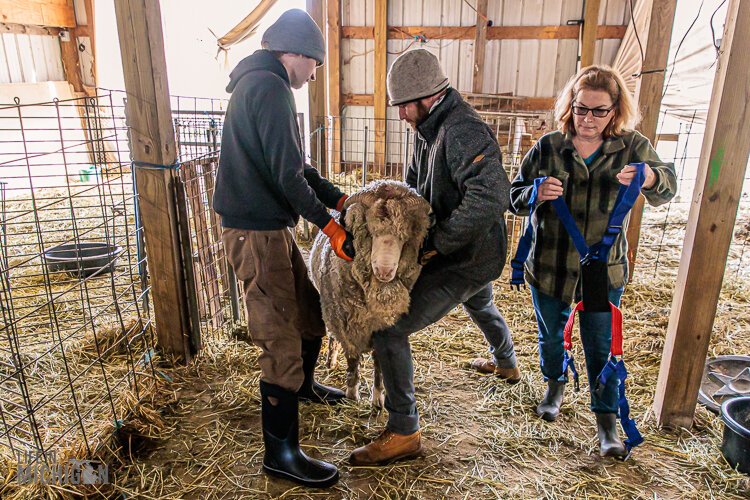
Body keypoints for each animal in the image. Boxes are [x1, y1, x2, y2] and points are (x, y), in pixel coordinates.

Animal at [310, 180, 428, 406]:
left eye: (404, 237)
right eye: (371, 232)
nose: (384, 271)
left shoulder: (381, 328)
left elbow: (379, 363)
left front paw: (378, 398)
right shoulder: (345, 325)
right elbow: (352, 358)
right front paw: (352, 392)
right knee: (333, 336)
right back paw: (331, 359)